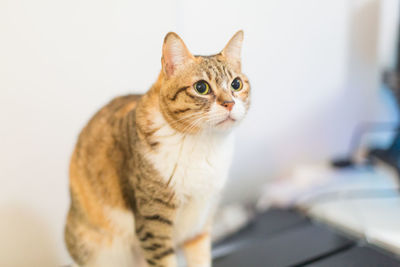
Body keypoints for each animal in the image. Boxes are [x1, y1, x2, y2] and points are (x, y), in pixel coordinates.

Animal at [66, 30, 252, 267]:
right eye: (201, 87)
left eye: (236, 84)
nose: (229, 103)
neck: (204, 145)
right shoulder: (153, 222)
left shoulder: (200, 222)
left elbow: (200, 257)